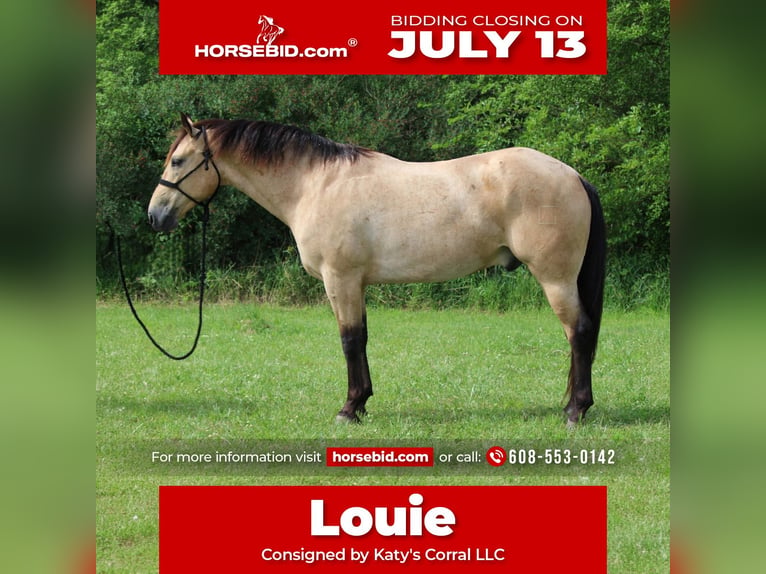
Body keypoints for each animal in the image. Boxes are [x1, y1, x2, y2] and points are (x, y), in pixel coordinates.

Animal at [148, 114, 606, 426]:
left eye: (179, 160)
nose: (155, 216)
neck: (315, 184)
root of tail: (573, 175)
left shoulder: (341, 279)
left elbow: (350, 341)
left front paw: (349, 408)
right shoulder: (355, 284)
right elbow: (362, 339)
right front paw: (363, 402)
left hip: (556, 279)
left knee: (579, 332)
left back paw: (575, 410)